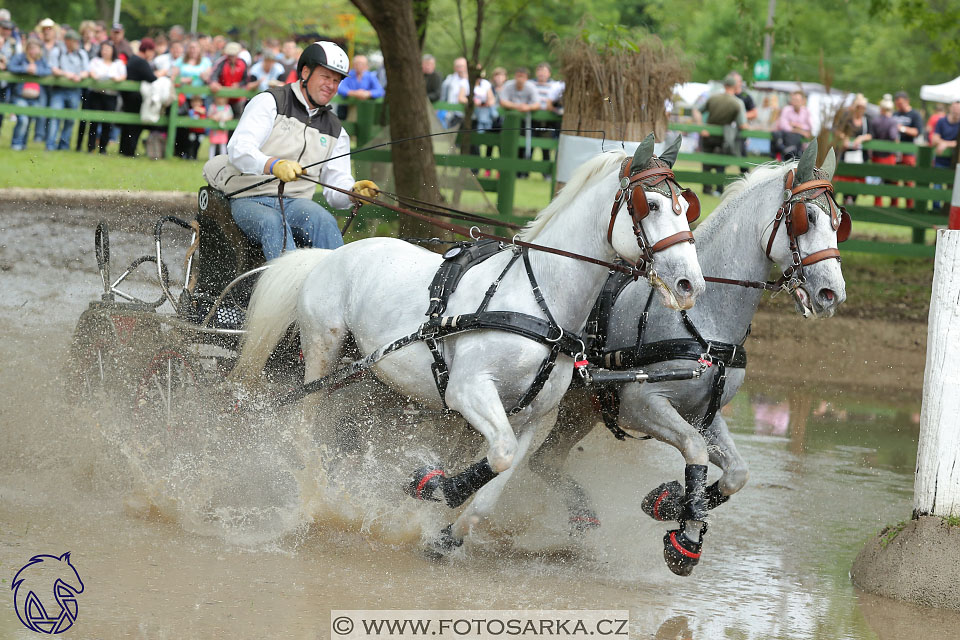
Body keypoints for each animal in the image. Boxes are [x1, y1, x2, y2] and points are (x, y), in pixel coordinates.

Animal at [236, 139, 708, 552]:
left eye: (687, 206)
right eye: (651, 205)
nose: (690, 284)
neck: (538, 301)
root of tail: (330, 255)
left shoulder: (535, 418)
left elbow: (496, 484)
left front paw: (448, 535)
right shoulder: (468, 390)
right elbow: (497, 456)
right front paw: (432, 486)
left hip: (375, 377)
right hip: (322, 353)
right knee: (304, 424)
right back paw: (311, 496)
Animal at [524, 141, 848, 576]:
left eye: (839, 222)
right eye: (806, 217)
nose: (832, 293)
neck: (702, 319)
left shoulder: (704, 413)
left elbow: (737, 474)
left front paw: (670, 505)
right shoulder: (641, 404)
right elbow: (695, 450)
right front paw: (683, 534)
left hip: (584, 408)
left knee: (544, 462)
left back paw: (581, 514)